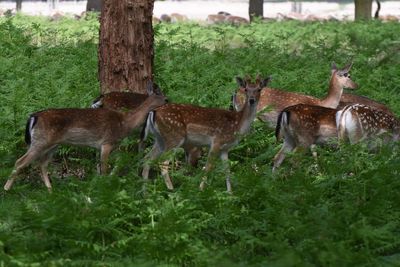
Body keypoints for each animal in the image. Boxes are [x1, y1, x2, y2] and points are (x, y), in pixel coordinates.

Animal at [4, 93, 167, 192]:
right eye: (164, 98)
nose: (169, 101)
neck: (124, 124)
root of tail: (33, 117)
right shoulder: (106, 142)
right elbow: (104, 166)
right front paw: (104, 185)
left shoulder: (108, 145)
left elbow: (116, 161)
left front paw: (106, 179)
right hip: (40, 142)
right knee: (20, 162)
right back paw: (6, 189)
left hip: (52, 145)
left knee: (42, 164)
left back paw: (50, 190)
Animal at [142, 75, 270, 193]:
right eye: (246, 89)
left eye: (259, 89)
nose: (252, 100)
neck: (237, 124)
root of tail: (154, 112)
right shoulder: (216, 141)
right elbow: (208, 167)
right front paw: (201, 190)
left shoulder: (225, 148)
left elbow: (227, 169)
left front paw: (230, 193)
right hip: (174, 137)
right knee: (162, 163)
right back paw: (171, 190)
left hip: (160, 139)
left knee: (147, 159)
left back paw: (145, 192)